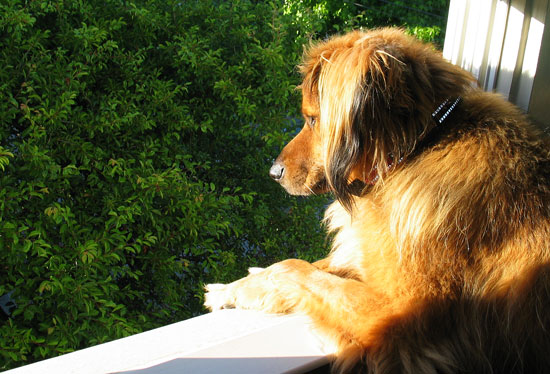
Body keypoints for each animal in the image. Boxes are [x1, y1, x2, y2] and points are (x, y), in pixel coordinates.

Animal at [205, 27, 550, 372]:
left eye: (313, 120)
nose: (273, 172)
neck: (420, 146)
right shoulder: (365, 255)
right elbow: (305, 266)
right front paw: (233, 288)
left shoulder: (396, 315)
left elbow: (295, 267)